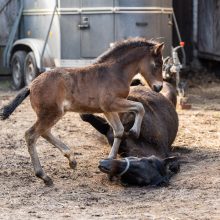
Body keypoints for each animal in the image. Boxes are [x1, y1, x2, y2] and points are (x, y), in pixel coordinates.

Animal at [0, 37, 164, 184]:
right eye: (157, 64)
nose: (159, 87)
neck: (114, 72)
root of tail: (31, 85)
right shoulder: (111, 103)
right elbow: (139, 107)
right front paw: (135, 132)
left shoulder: (107, 109)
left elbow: (118, 131)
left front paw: (110, 160)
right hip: (51, 113)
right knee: (31, 135)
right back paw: (44, 176)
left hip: (52, 114)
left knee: (45, 132)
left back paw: (71, 159)